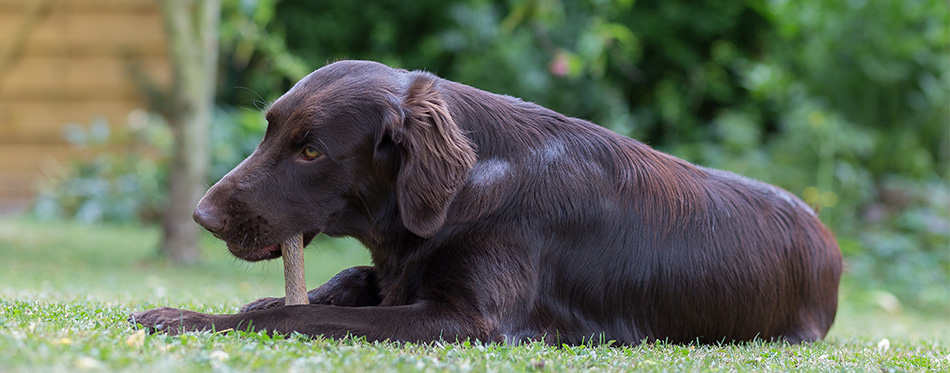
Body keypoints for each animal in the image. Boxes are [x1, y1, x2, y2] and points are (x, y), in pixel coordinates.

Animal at [128, 60, 840, 342]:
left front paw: (187, 318)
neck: (468, 192)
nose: (201, 217)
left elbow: (301, 317)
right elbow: (342, 283)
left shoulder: (470, 321)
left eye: (311, 151)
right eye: (269, 129)